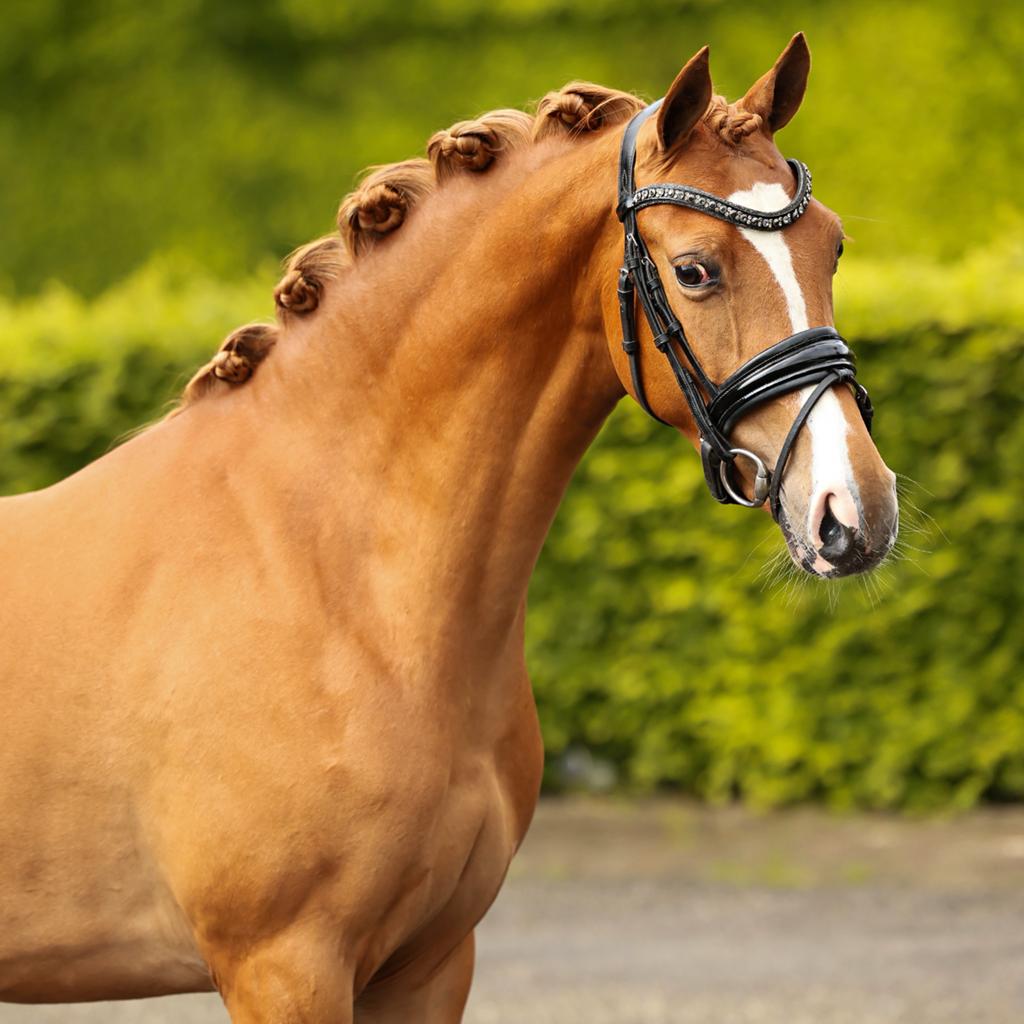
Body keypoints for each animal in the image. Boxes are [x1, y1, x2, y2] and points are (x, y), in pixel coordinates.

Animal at [0, 34, 897, 1022]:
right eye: (696, 269)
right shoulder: (283, 970)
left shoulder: (431, 960)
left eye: (833, 247)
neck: (330, 578)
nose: (856, 510)